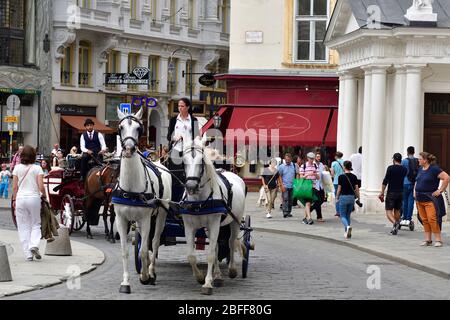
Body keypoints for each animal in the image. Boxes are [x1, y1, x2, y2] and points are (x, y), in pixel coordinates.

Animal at [114, 107, 172, 292]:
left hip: (161, 215)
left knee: (154, 242)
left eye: (139, 129)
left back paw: (151, 272)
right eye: (121, 127)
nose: (128, 149)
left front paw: (145, 276)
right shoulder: (121, 219)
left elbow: (144, 250)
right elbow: (125, 251)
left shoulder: (146, 219)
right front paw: (125, 283)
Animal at [181, 138, 246, 296]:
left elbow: (210, 254)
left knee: (230, 242)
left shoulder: (214, 223)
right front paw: (200, 277)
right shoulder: (189, 226)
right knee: (216, 246)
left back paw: (232, 270)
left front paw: (207, 283)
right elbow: (191, 255)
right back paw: (217, 276)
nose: (191, 186)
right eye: (183, 160)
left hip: (234, 222)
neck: (198, 200)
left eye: (201, 161)